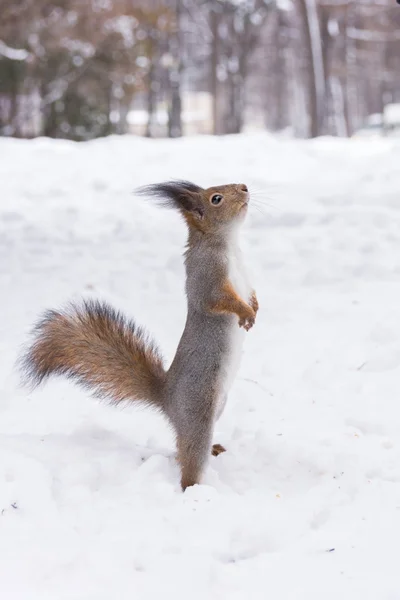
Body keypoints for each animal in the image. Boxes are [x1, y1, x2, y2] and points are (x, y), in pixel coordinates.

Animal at [21, 180, 260, 490]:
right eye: (216, 199)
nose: (244, 187)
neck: (229, 245)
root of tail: (167, 399)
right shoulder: (206, 276)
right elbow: (217, 300)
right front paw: (245, 313)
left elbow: (251, 293)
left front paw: (255, 307)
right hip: (198, 411)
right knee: (190, 456)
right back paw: (194, 488)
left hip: (218, 406)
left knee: (180, 446)